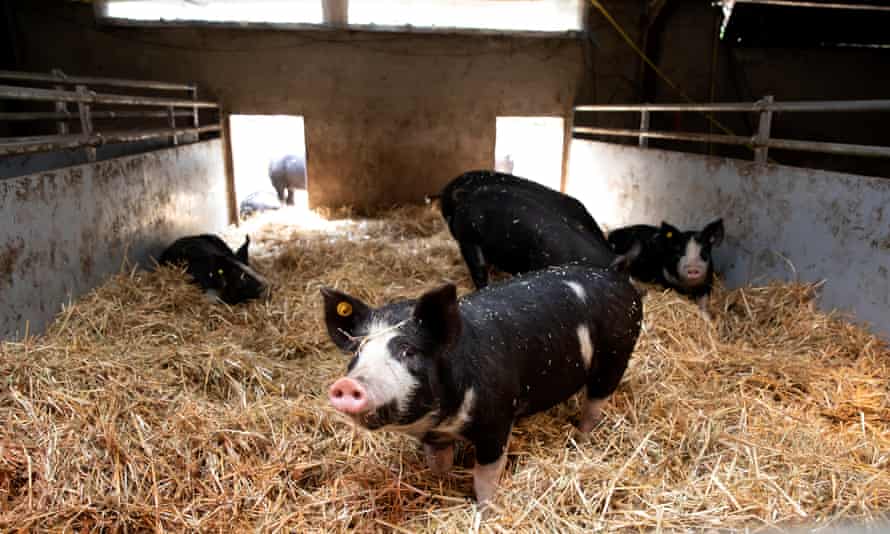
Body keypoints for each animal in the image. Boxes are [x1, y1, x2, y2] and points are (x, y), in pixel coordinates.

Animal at [322, 256, 642, 505]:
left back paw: (581, 441)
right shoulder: (434, 436)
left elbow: (485, 476)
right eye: (358, 351)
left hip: (617, 354)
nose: (348, 385)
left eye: (408, 350)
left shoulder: (497, 419)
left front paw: (485, 510)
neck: (445, 420)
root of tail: (615, 273)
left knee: (595, 403)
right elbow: (438, 466)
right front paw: (441, 487)